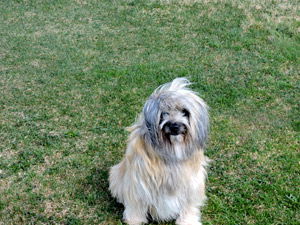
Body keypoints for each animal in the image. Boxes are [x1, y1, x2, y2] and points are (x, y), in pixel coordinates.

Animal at [109, 78, 210, 224]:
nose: (174, 126)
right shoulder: (138, 183)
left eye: (185, 112)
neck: (171, 151)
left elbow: (188, 205)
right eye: (164, 113)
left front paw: (187, 221)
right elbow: (136, 204)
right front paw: (135, 220)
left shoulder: (192, 183)